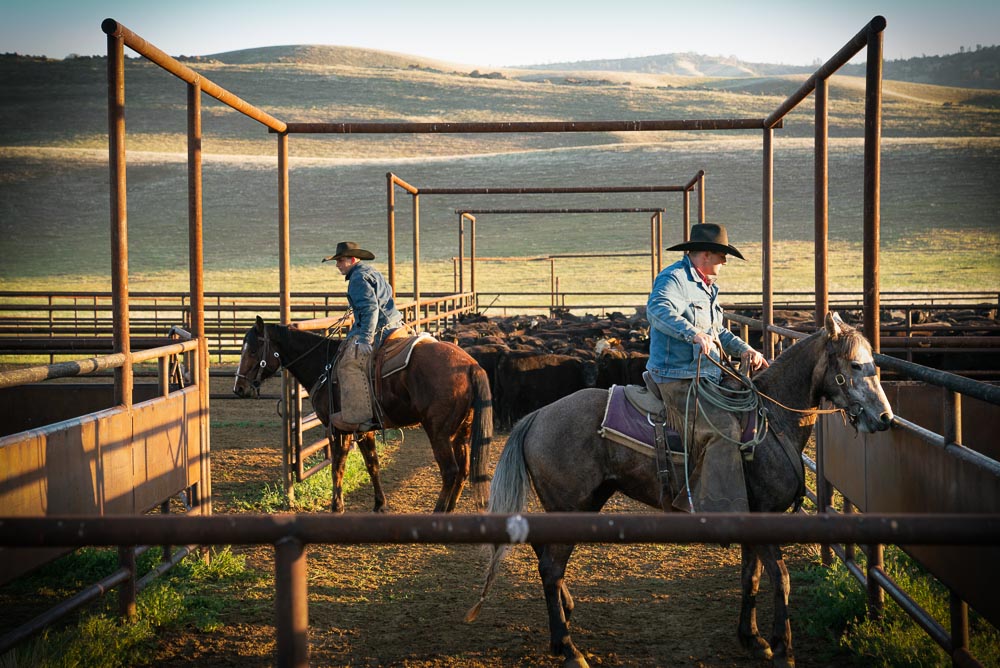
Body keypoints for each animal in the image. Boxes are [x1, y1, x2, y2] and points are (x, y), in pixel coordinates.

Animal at [238, 318, 496, 512]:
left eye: (253, 350)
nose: (239, 388)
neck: (325, 364)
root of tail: (470, 365)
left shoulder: (338, 429)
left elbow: (337, 465)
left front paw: (337, 507)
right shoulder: (363, 429)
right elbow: (372, 464)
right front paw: (379, 504)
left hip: (438, 432)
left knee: (450, 471)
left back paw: (439, 511)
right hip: (462, 431)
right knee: (463, 470)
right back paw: (450, 509)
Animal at [464, 314, 896, 668]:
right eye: (855, 365)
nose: (885, 418)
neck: (770, 421)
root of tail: (537, 416)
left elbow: (751, 577)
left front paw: (752, 638)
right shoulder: (765, 520)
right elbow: (781, 579)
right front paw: (783, 648)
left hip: (580, 504)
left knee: (545, 558)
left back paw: (564, 622)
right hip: (571, 506)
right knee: (551, 566)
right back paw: (569, 649)